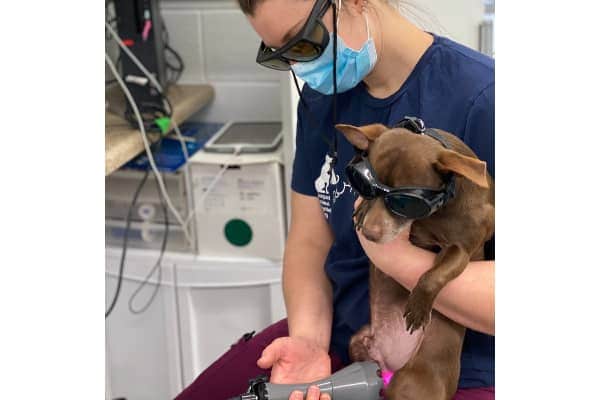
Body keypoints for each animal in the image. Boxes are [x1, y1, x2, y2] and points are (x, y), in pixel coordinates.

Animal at [336, 123, 494, 400]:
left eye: (404, 202)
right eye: (367, 186)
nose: (370, 235)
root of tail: (388, 367)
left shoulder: (461, 250)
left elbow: (436, 273)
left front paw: (418, 306)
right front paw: (364, 208)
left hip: (410, 382)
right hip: (357, 344)